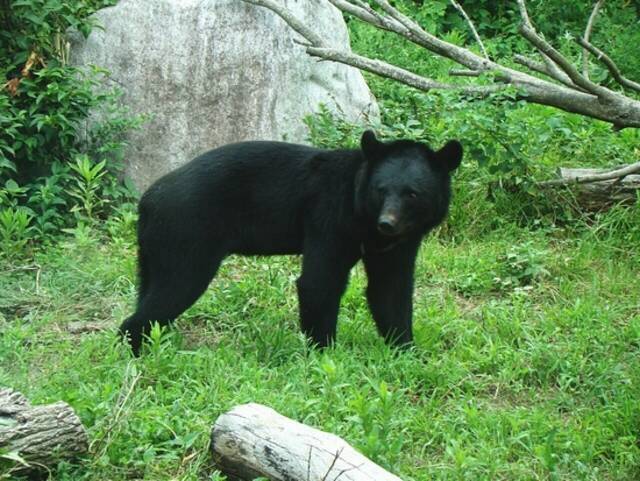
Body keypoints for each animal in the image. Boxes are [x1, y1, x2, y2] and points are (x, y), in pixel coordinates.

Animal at [119, 130, 460, 352]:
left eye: (412, 193)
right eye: (381, 190)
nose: (387, 223)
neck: (364, 221)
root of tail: (148, 200)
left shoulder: (400, 242)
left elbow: (390, 288)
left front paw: (405, 350)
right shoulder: (329, 217)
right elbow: (319, 282)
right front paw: (324, 353)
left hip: (154, 249)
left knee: (151, 287)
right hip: (187, 234)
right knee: (175, 287)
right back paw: (136, 347)